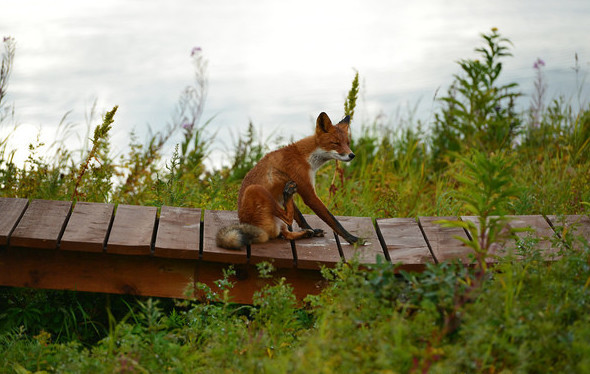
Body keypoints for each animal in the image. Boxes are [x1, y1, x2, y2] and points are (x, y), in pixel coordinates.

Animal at [216, 112, 364, 250]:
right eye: (336, 143)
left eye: (348, 143)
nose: (352, 155)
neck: (306, 157)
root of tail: (252, 227)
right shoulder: (309, 193)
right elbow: (333, 220)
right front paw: (353, 239)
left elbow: (301, 218)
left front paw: (311, 230)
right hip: (255, 189)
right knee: (287, 218)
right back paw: (288, 196)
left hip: (278, 216)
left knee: (286, 232)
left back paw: (305, 230)